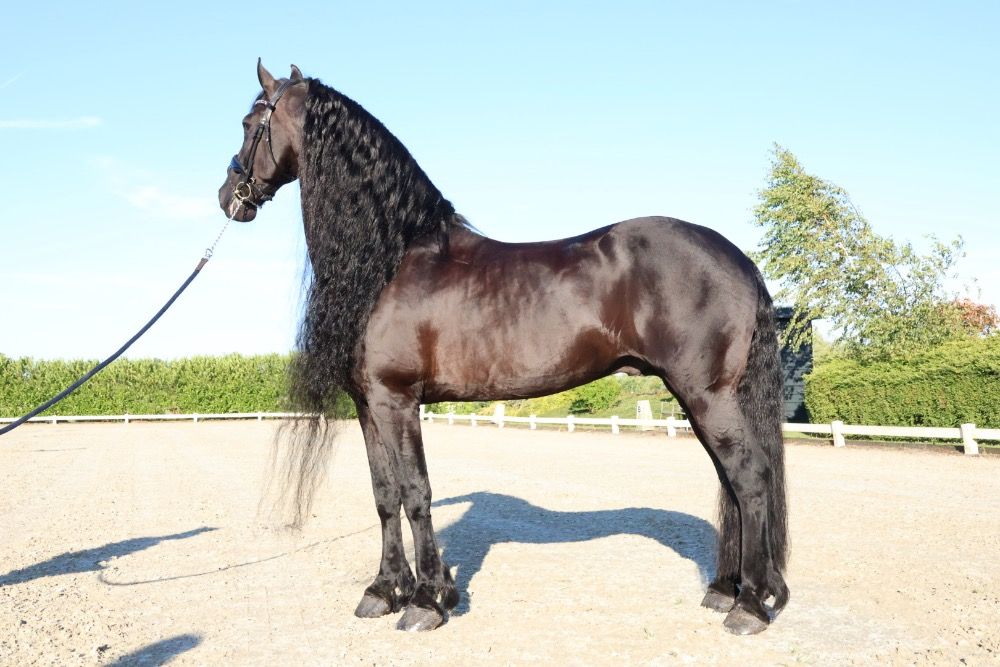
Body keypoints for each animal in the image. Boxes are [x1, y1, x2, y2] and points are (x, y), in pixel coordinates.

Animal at [218, 61, 788, 636]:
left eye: (249, 123)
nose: (229, 197)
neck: (395, 259)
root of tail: (739, 260)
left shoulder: (397, 400)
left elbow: (416, 493)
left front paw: (427, 601)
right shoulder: (367, 405)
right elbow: (384, 496)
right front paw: (383, 591)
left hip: (707, 395)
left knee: (750, 478)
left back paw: (750, 605)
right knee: (731, 484)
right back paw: (726, 590)